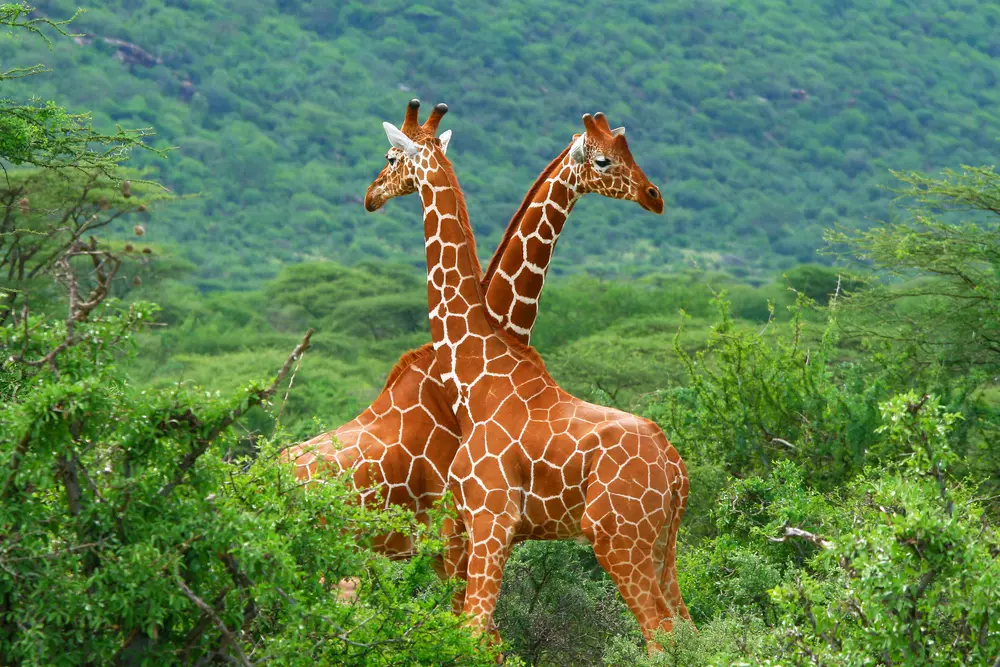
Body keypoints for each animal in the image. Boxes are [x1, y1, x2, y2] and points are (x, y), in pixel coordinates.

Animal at [361, 100, 691, 649]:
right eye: (606, 158)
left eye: (390, 157)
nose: (370, 195)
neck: (476, 373)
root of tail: (676, 469)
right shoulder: (476, 528)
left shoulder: (488, 518)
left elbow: (474, 634)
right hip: (662, 546)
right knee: (690, 628)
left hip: (618, 537)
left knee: (662, 634)